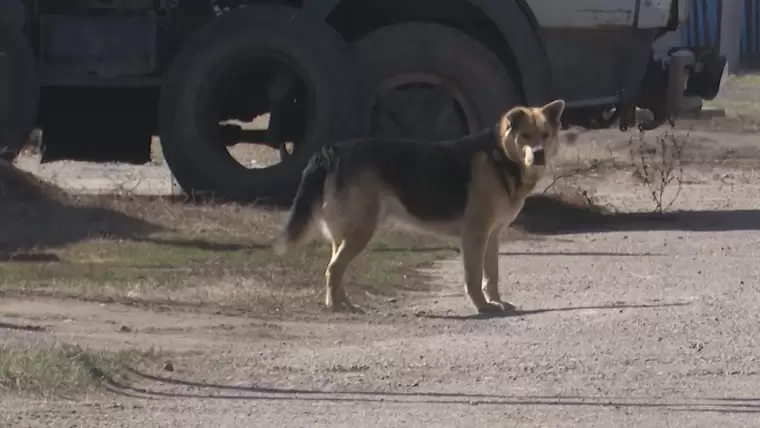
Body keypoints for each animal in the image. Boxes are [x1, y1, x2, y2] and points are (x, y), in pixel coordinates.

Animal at [274, 100, 564, 314]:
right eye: (525, 136)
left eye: (545, 135)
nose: (538, 154)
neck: (500, 156)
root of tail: (333, 150)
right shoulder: (475, 235)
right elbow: (473, 277)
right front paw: (482, 307)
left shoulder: (493, 236)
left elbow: (491, 275)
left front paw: (497, 302)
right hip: (361, 230)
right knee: (333, 269)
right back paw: (337, 307)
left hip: (346, 232)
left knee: (335, 269)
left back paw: (342, 302)